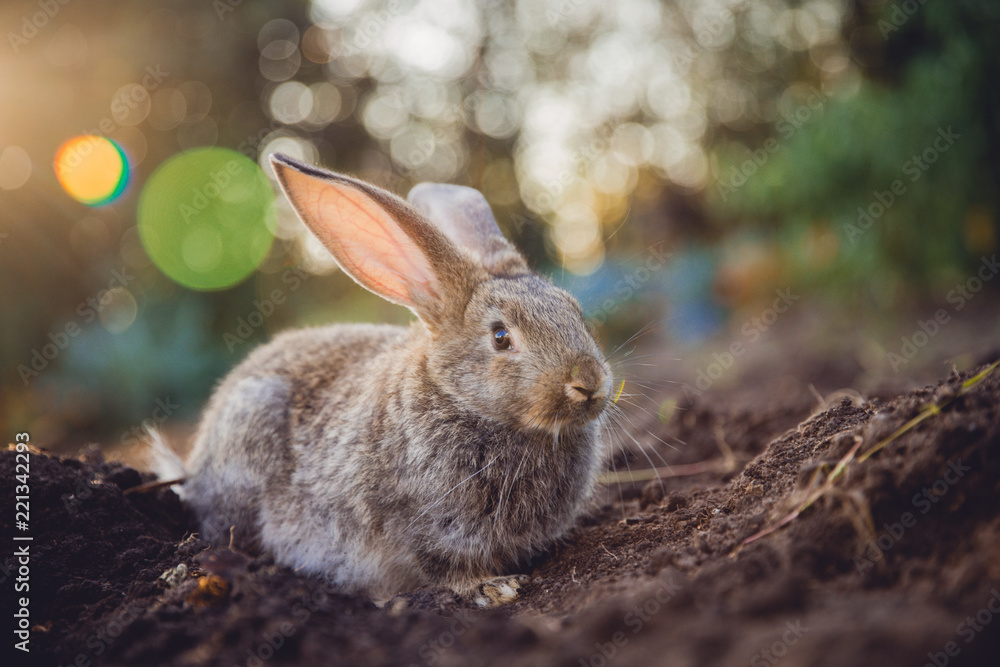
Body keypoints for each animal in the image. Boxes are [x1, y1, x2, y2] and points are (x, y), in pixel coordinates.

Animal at [161, 153, 612, 605]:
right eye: (501, 337)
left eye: (575, 312)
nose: (589, 383)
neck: (457, 397)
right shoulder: (416, 525)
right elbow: (442, 565)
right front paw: (492, 587)